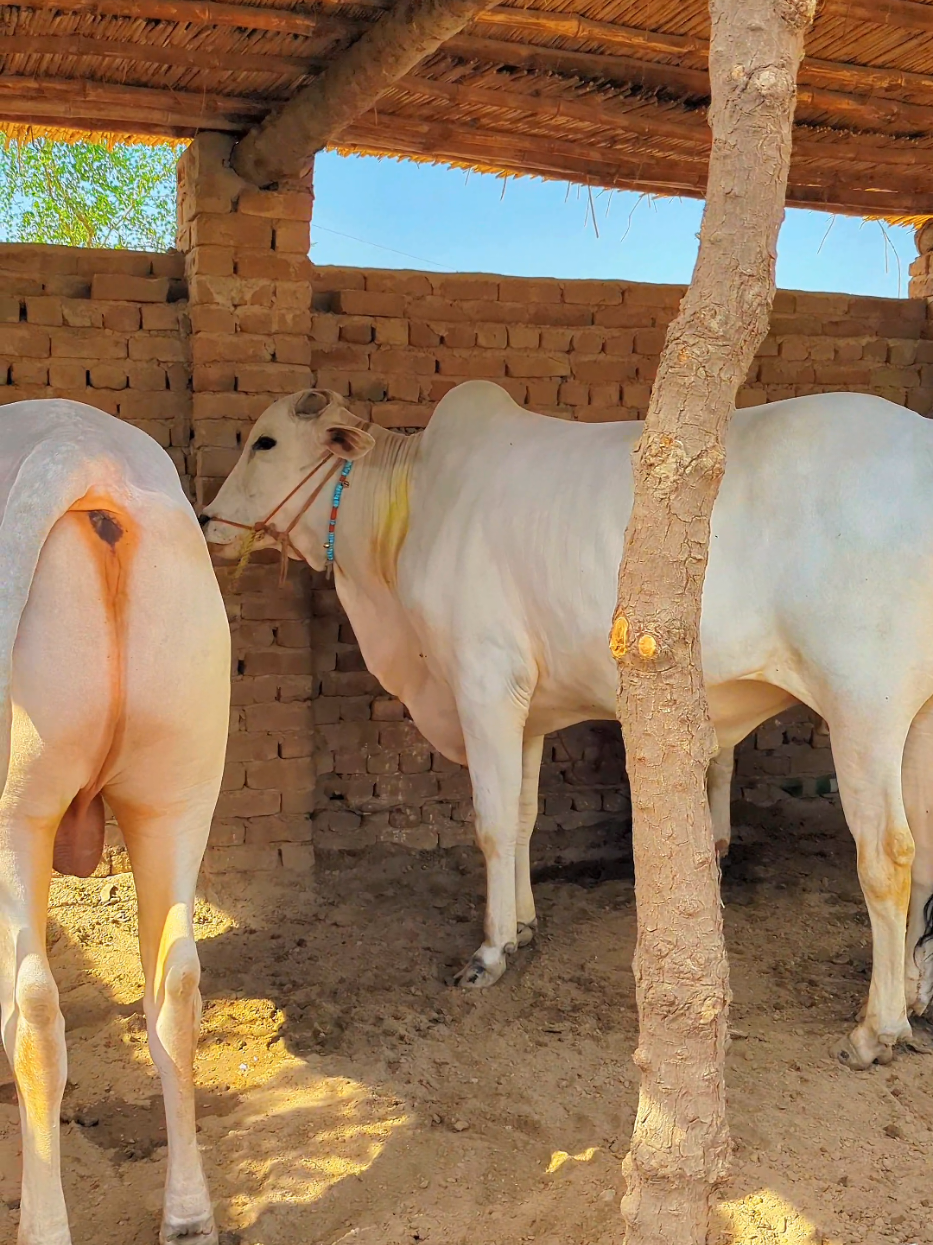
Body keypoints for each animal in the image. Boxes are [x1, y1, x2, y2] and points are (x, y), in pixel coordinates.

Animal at [0, 399, 230, 1245]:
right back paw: (189, 1213)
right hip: (178, 793)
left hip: (17, 816)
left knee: (34, 1009)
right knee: (177, 986)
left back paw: (43, 1226)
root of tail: (81, 449)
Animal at [203, 381, 933, 1071]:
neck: (411, 506)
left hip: (864, 709)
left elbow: (492, 825)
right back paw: (916, 997)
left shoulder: (484, 685)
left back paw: (877, 1028)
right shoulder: (526, 708)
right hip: (919, 716)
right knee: (923, 841)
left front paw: (490, 950)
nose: (207, 518)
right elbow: (523, 817)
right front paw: (523, 924)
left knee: (887, 855)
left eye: (265, 442)